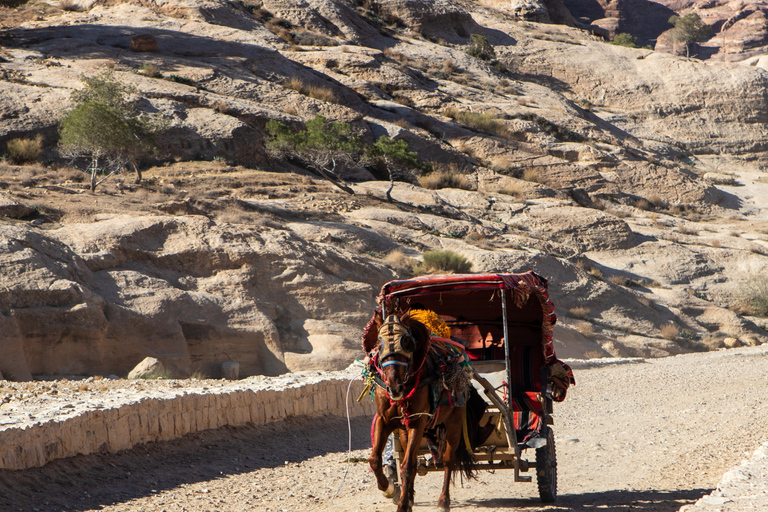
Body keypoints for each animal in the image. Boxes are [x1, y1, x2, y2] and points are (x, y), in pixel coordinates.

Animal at [368, 312, 486, 512]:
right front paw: (390, 489)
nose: (394, 387)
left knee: (448, 460)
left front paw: (402, 505)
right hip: (404, 430)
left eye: (407, 342)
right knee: (413, 460)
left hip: (454, 421)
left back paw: (443, 501)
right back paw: (409, 496)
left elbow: (408, 467)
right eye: (378, 343)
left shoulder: (418, 421)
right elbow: (375, 460)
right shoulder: (385, 420)